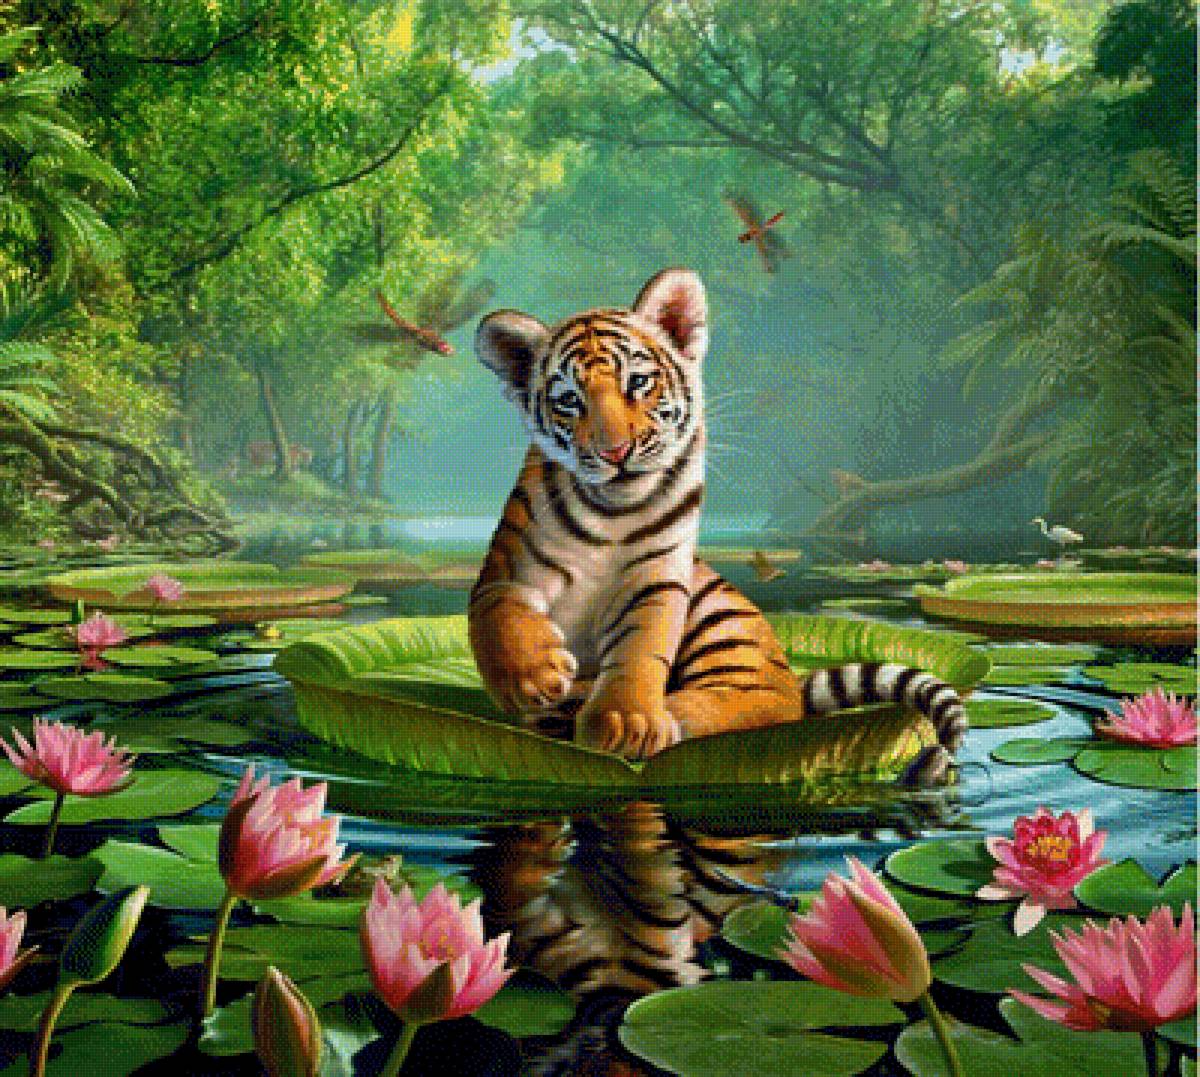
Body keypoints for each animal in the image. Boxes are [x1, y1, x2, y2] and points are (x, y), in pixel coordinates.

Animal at [470, 267, 967, 785]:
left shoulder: (658, 580)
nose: (615, 451)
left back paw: (669, 716)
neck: (612, 515)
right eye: (569, 400)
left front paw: (627, 722)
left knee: (766, 705)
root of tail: (793, 675)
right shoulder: (506, 568)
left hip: (724, 622)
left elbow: (640, 648)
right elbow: (498, 613)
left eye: (638, 382)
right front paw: (532, 679)